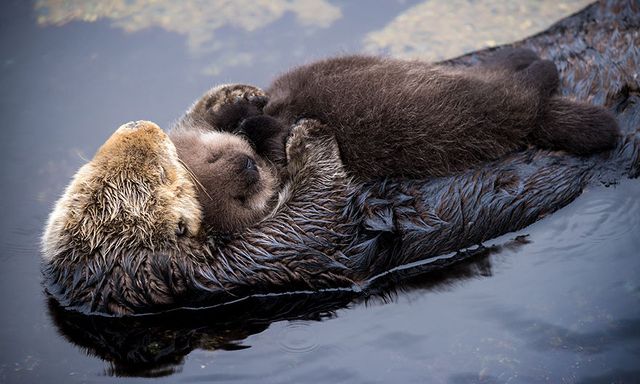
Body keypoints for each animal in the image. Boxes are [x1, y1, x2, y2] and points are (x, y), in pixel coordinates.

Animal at [171, 48, 620, 234]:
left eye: (215, 156)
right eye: (242, 198)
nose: (246, 166)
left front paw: (242, 104)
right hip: (479, 111)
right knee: (522, 95)